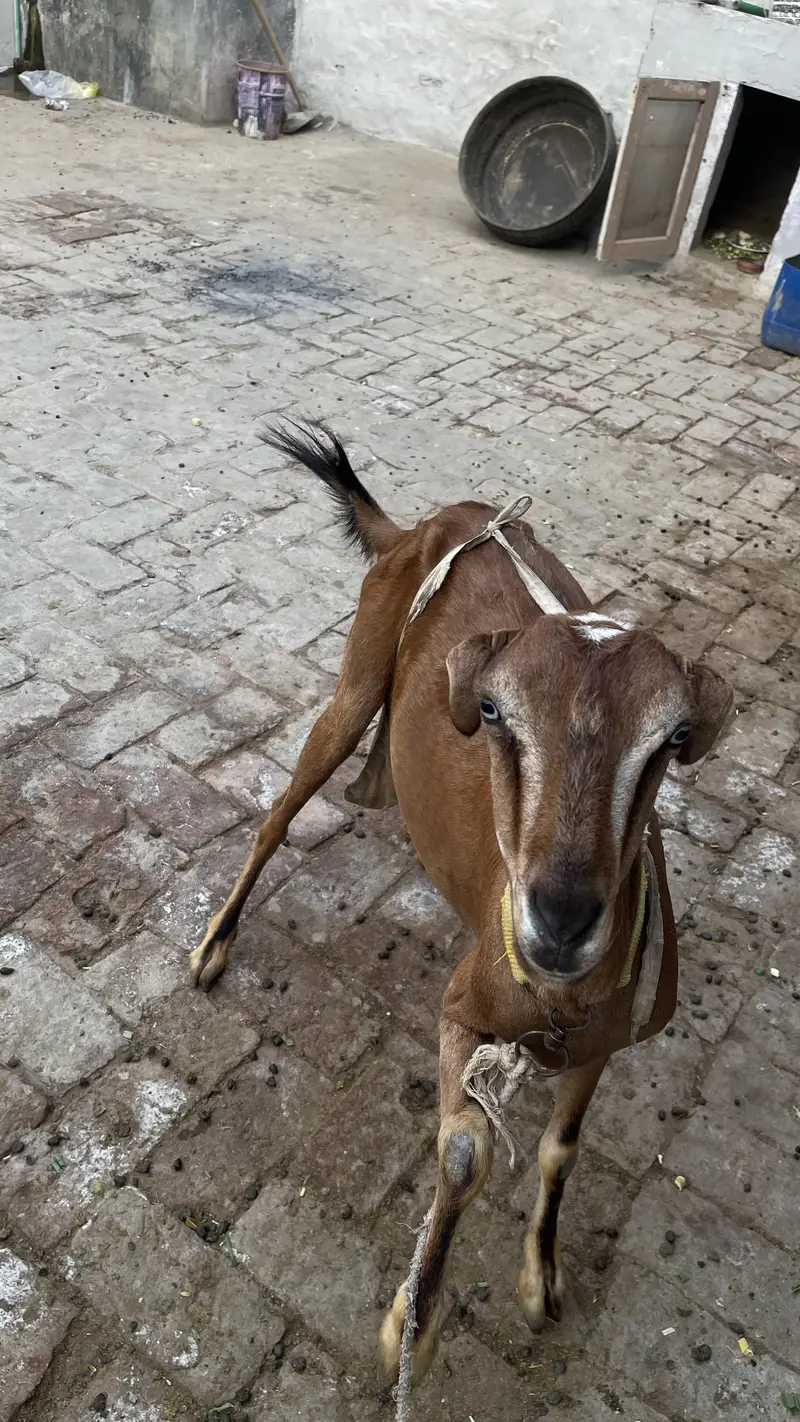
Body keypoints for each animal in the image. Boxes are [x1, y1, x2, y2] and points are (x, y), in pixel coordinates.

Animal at [189, 423, 733, 1384]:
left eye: (670, 740)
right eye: (493, 711)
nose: (560, 917)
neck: (552, 1005)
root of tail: (432, 523)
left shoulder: (604, 1040)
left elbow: (560, 1147)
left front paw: (540, 1281)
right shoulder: (462, 1009)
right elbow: (466, 1146)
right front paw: (412, 1323)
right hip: (358, 671)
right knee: (283, 807)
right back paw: (214, 945)